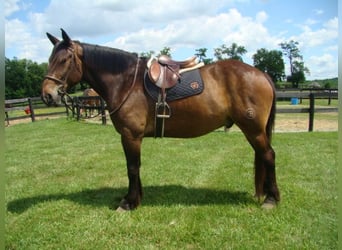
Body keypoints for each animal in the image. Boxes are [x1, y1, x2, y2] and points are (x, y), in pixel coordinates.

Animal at [41, 29, 280, 211]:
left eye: (64, 60)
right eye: (50, 59)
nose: (47, 95)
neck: (126, 82)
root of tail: (261, 74)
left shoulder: (131, 136)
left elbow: (132, 167)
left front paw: (129, 203)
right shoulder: (133, 138)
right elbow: (136, 167)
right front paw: (137, 197)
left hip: (254, 130)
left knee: (268, 155)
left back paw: (272, 199)